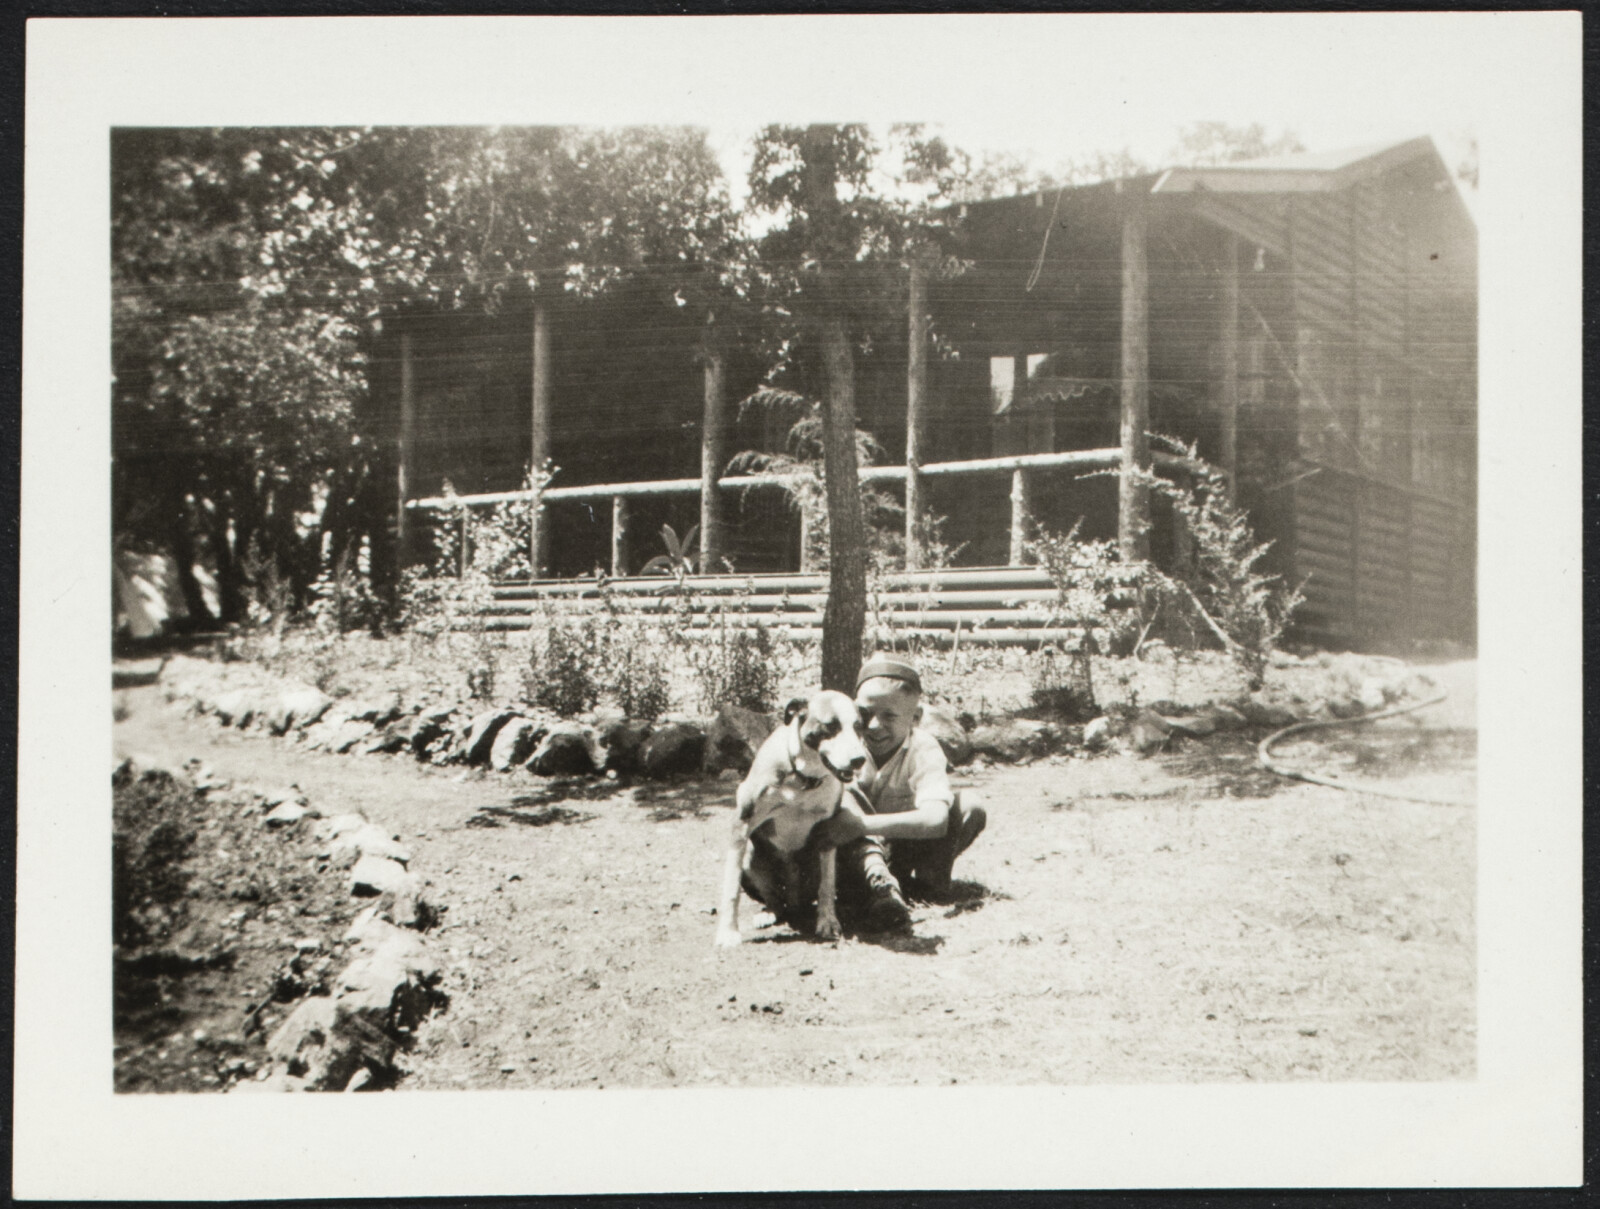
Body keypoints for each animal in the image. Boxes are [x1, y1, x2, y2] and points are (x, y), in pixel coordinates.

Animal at [716, 694, 870, 946]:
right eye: (831, 726)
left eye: (858, 727)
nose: (859, 760)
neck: (803, 778)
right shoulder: (741, 824)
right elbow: (731, 888)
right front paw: (728, 931)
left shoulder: (828, 832)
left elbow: (827, 886)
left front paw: (827, 922)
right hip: (751, 855)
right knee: (773, 898)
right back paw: (769, 913)